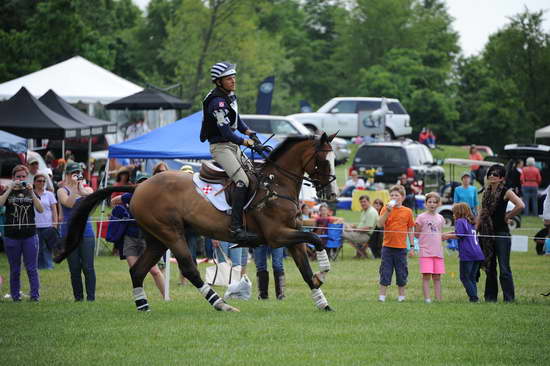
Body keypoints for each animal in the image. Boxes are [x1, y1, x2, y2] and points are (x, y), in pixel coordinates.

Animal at [57, 134, 340, 312]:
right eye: (322, 161)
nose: (331, 194)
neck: (277, 184)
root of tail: (139, 187)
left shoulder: (291, 236)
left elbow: (306, 269)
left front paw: (323, 301)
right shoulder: (278, 235)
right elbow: (316, 239)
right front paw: (324, 270)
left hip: (157, 239)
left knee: (137, 271)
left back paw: (143, 306)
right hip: (171, 234)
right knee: (189, 268)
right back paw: (221, 304)